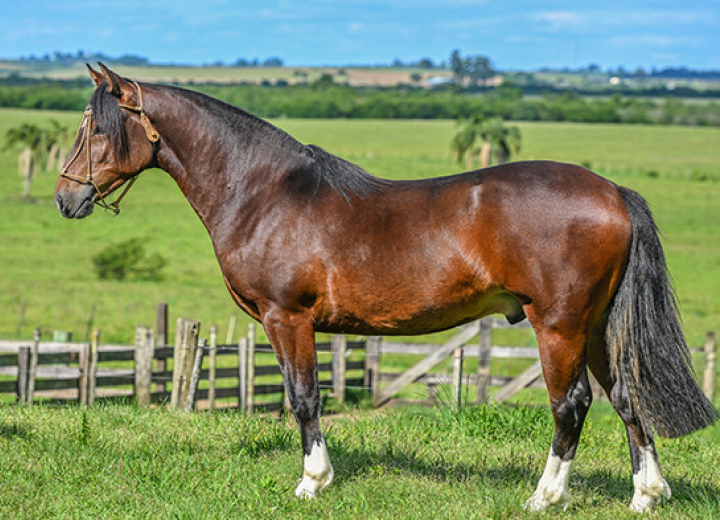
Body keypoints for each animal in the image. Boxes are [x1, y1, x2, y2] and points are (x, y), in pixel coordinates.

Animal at [54, 64, 716, 512]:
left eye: (98, 130)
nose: (65, 197)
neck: (266, 194)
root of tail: (611, 192)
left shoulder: (287, 318)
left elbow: (304, 398)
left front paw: (313, 481)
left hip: (560, 325)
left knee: (571, 405)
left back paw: (545, 496)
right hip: (598, 326)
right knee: (626, 397)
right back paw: (647, 494)